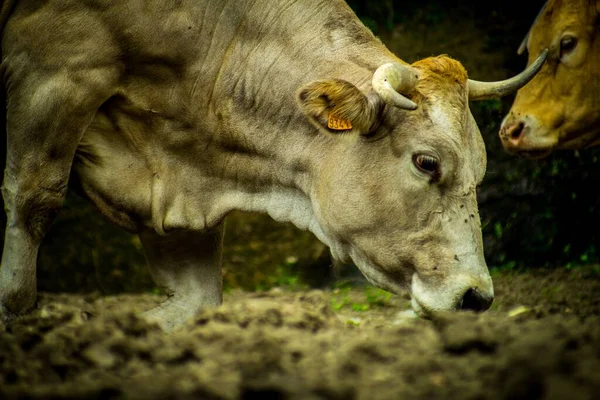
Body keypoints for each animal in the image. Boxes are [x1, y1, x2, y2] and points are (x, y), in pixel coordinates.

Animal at [0, 0, 544, 330]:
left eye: (479, 170)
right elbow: (32, 208)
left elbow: (195, 300)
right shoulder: (55, 70)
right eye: (427, 162)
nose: (475, 297)